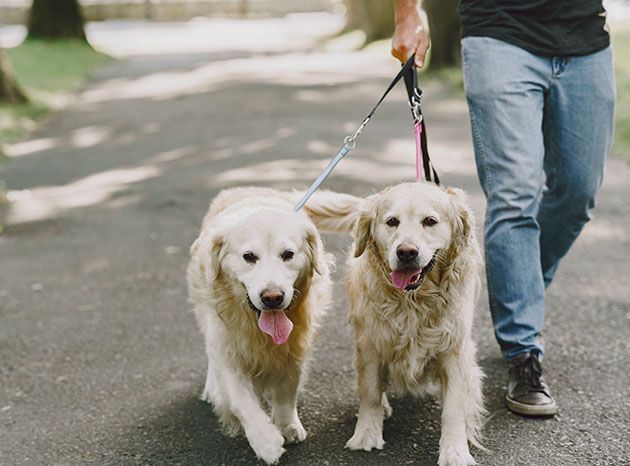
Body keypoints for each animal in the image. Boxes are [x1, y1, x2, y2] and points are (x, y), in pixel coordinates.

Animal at [188, 187, 334, 464]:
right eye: (248, 257)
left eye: (288, 254)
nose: (272, 297)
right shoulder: (229, 349)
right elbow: (241, 401)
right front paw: (264, 440)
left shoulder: (294, 348)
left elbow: (287, 391)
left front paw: (288, 425)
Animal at [308, 182, 488, 466]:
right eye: (392, 221)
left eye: (430, 221)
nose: (406, 253)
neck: (414, 301)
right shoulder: (370, 343)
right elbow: (370, 391)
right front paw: (367, 434)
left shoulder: (455, 350)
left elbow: (454, 408)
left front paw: (455, 451)